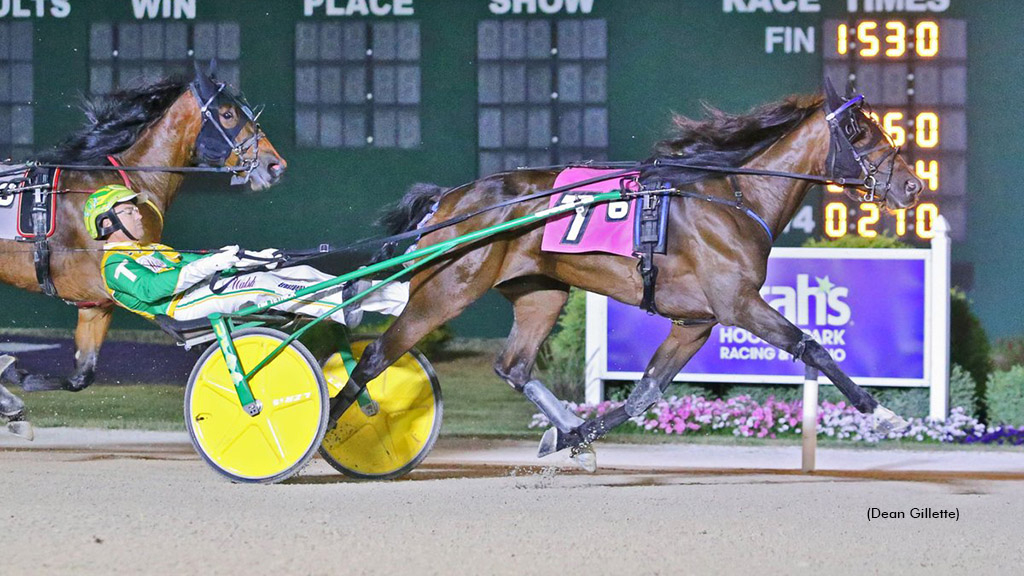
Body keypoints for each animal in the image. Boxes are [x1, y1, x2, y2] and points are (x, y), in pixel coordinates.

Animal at [342, 81, 921, 467]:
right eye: (858, 131)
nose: (912, 186)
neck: (736, 198)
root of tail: (450, 199)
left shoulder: (696, 322)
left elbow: (645, 394)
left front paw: (574, 436)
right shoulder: (738, 304)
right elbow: (812, 346)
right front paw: (883, 414)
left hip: (541, 293)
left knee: (514, 367)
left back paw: (566, 426)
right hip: (446, 288)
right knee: (375, 356)